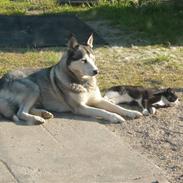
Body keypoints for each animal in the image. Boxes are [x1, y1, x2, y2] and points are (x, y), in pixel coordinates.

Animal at [0, 34, 142, 124]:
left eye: (93, 59)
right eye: (83, 60)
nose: (96, 71)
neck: (83, 83)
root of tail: (3, 79)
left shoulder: (97, 100)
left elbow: (117, 107)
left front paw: (131, 112)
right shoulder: (80, 107)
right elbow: (103, 111)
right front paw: (115, 117)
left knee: (24, 109)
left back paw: (43, 113)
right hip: (34, 88)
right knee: (20, 112)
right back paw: (37, 119)